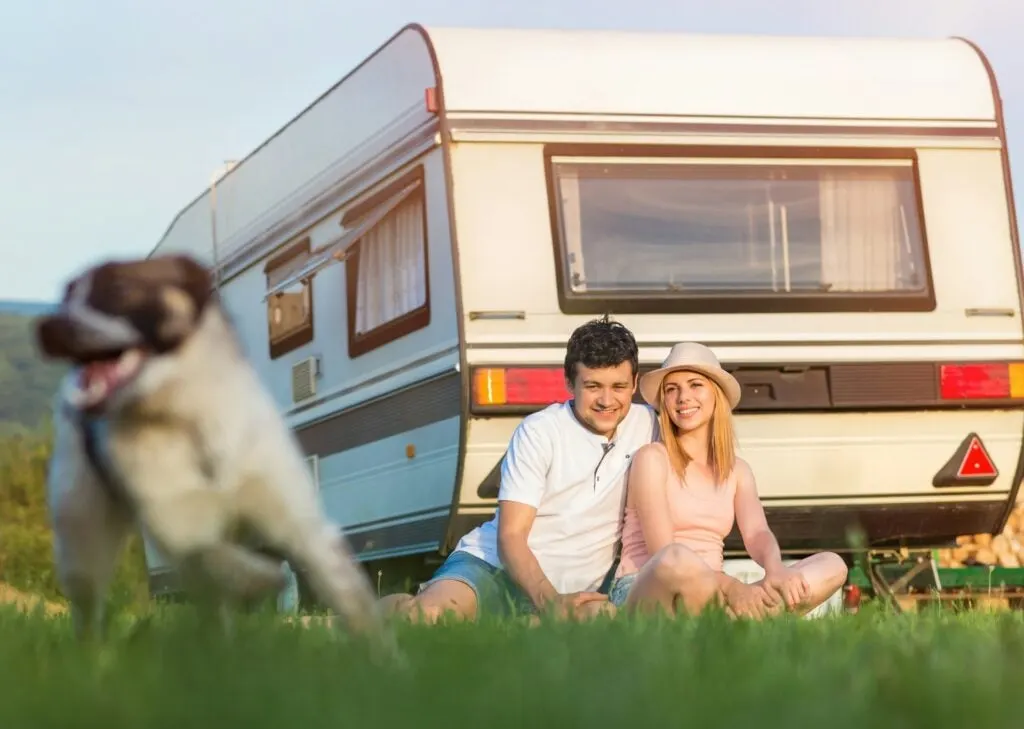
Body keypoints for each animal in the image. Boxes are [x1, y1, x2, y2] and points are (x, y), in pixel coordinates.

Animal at [35, 253, 395, 659]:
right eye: (66, 297)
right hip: (82, 534)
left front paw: (390, 664)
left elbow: (353, 600)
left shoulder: (302, 523)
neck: (190, 419)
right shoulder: (176, 523)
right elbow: (211, 557)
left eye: (118, 289)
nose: (46, 327)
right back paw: (93, 658)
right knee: (91, 601)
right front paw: (266, 578)